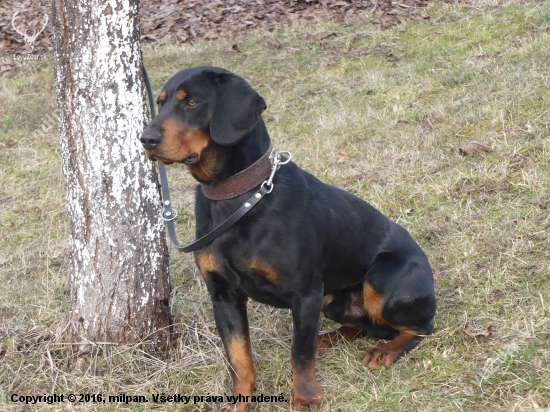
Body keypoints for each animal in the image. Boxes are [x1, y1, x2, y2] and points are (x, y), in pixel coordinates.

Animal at [140, 66, 438, 410]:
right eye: (160, 103)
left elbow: (299, 352)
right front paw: (241, 403)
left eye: (192, 103)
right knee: (364, 325)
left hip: (380, 278)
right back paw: (328, 338)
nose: (146, 139)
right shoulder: (223, 295)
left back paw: (384, 351)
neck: (238, 197)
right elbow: (239, 359)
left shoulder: (305, 293)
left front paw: (306, 397)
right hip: (331, 303)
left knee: (418, 328)